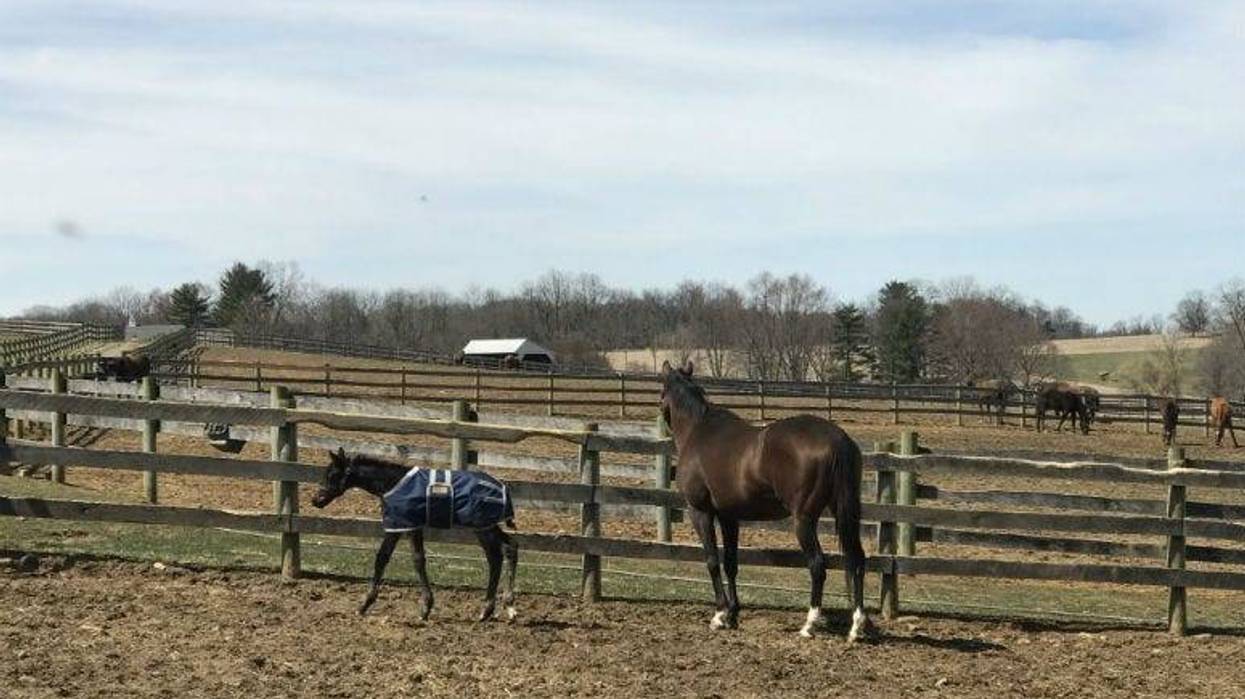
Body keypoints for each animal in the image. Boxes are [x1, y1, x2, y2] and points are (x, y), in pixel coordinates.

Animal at [310, 448, 519, 622]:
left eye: (333, 475)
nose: (316, 500)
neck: (392, 483)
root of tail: (504, 488)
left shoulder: (406, 525)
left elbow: (408, 560)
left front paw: (424, 608)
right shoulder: (402, 526)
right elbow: (393, 558)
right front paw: (365, 605)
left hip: (483, 527)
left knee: (501, 552)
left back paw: (499, 607)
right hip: (485, 526)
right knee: (503, 551)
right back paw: (495, 609)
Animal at [658, 360, 870, 642]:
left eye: (661, 390)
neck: (698, 431)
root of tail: (838, 439)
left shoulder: (700, 511)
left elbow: (712, 561)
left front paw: (719, 615)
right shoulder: (729, 516)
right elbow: (731, 563)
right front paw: (733, 615)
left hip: (804, 520)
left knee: (817, 565)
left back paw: (809, 624)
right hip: (843, 511)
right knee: (856, 559)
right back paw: (856, 626)